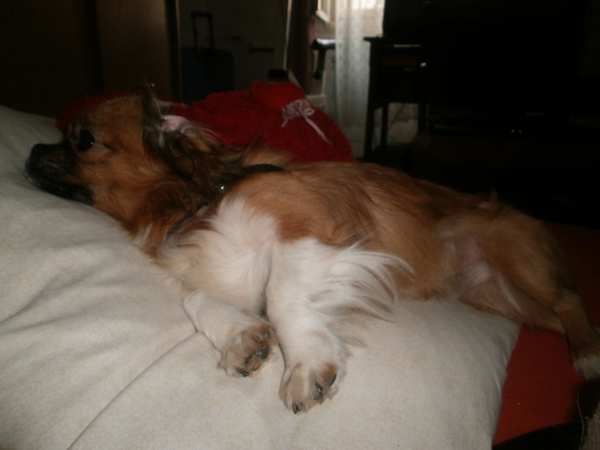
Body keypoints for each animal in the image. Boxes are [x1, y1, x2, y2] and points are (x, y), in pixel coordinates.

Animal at [26, 91, 600, 414]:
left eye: (83, 140)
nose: (30, 150)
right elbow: (196, 300)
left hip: (516, 258)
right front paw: (239, 337)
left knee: (572, 302)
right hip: (499, 300)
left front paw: (303, 362)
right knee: (557, 315)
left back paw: (589, 358)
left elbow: (281, 296)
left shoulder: (309, 229)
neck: (200, 197)